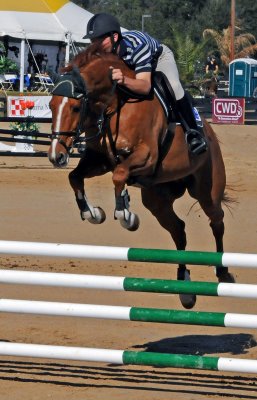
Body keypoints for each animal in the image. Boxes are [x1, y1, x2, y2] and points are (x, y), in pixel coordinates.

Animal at [47, 43, 233, 308]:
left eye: (74, 107)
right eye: (51, 105)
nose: (57, 156)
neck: (115, 104)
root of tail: (208, 130)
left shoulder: (146, 156)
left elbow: (119, 176)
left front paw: (125, 214)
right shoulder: (101, 160)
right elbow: (75, 177)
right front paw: (93, 213)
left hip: (207, 190)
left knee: (216, 221)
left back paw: (223, 272)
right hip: (157, 199)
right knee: (179, 230)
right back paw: (185, 287)